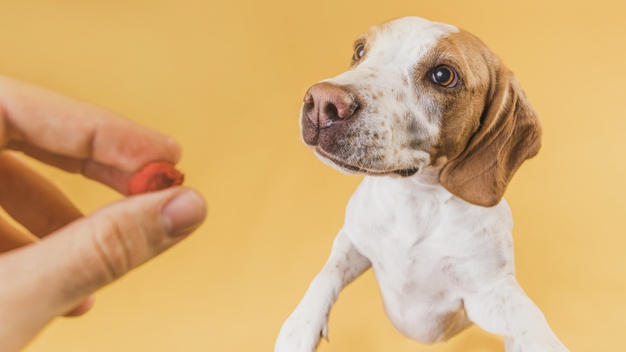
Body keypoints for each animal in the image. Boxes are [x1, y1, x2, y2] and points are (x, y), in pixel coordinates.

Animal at [272, 16, 564, 352]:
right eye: (360, 51)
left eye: (443, 75)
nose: (322, 101)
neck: (415, 201)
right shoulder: (353, 240)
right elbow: (326, 274)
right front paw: (300, 326)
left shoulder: (486, 296)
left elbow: (529, 321)